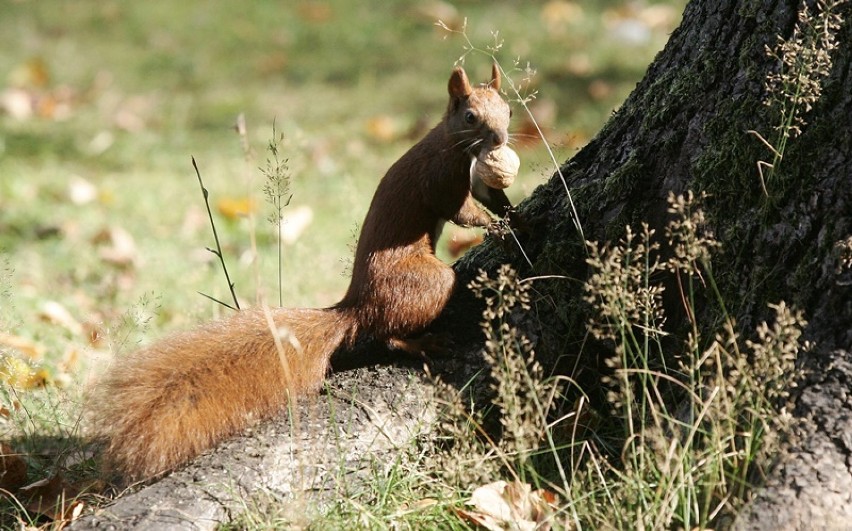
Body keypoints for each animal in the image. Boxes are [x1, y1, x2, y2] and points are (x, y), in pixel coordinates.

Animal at [92, 64, 516, 480]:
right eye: (470, 116)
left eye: (508, 110)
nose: (499, 139)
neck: (454, 144)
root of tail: (355, 306)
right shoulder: (440, 176)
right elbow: (461, 211)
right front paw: (495, 226)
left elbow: (488, 197)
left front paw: (510, 211)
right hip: (428, 283)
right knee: (387, 332)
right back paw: (423, 343)